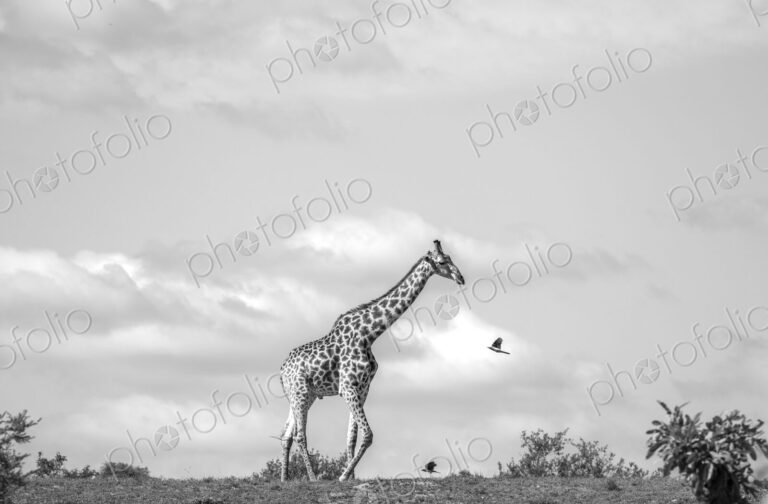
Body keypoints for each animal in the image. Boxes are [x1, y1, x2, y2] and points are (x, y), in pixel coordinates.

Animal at [277, 240, 465, 482]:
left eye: (451, 258)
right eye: (442, 262)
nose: (461, 277)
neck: (368, 335)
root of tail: (282, 370)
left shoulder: (363, 388)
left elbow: (352, 438)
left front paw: (350, 476)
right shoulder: (348, 387)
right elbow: (368, 435)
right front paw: (343, 477)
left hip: (304, 395)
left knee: (286, 434)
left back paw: (284, 479)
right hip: (299, 393)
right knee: (300, 435)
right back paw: (312, 478)